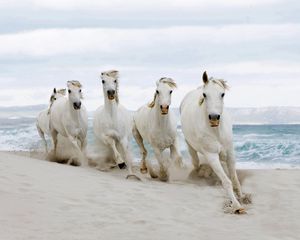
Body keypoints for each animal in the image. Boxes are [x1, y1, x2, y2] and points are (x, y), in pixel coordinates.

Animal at [180, 71, 246, 214]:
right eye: (205, 95)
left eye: (222, 94)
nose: (214, 118)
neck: (216, 131)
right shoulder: (211, 156)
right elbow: (226, 181)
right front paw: (237, 206)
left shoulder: (230, 153)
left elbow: (234, 178)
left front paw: (242, 197)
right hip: (191, 147)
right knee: (195, 162)